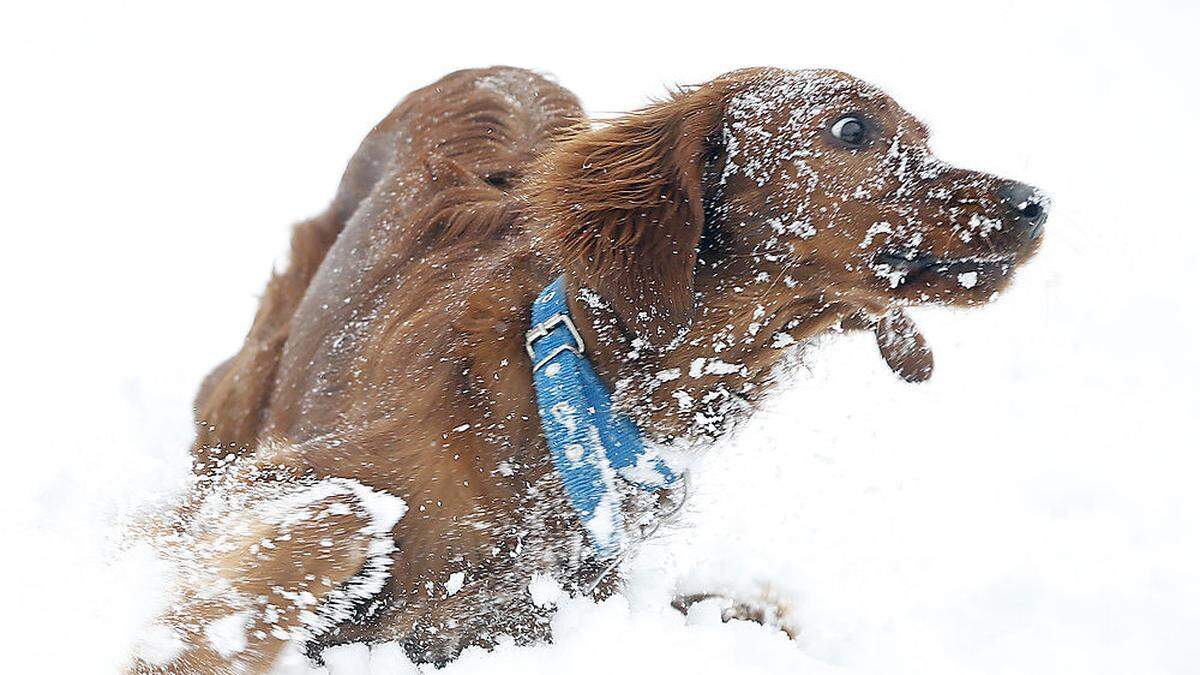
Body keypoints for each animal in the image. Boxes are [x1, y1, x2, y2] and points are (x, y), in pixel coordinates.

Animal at [131, 65, 1046, 667]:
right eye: (854, 130)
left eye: (925, 137)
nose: (1035, 202)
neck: (584, 396)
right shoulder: (271, 479)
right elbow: (341, 514)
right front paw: (191, 646)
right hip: (242, 391)